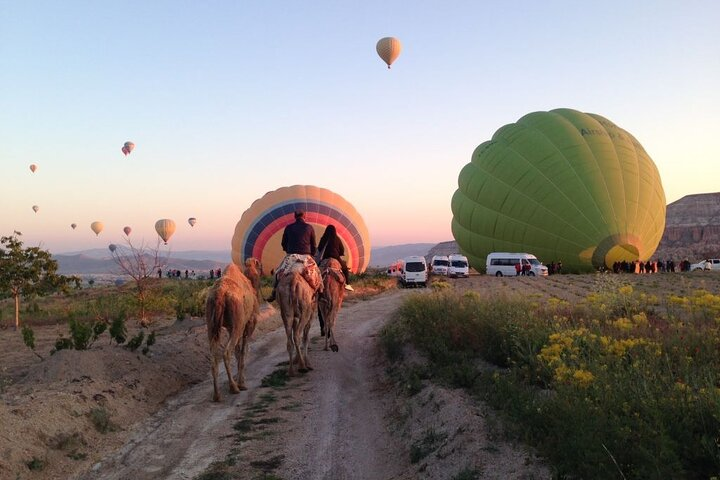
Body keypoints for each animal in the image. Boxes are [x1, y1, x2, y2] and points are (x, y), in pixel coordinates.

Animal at [205, 262, 258, 402]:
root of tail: (220, 293)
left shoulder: (231, 327)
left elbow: (238, 351)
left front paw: (240, 380)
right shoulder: (248, 324)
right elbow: (243, 351)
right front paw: (242, 383)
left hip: (211, 324)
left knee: (214, 356)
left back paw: (217, 395)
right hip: (237, 321)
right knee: (226, 352)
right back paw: (234, 388)